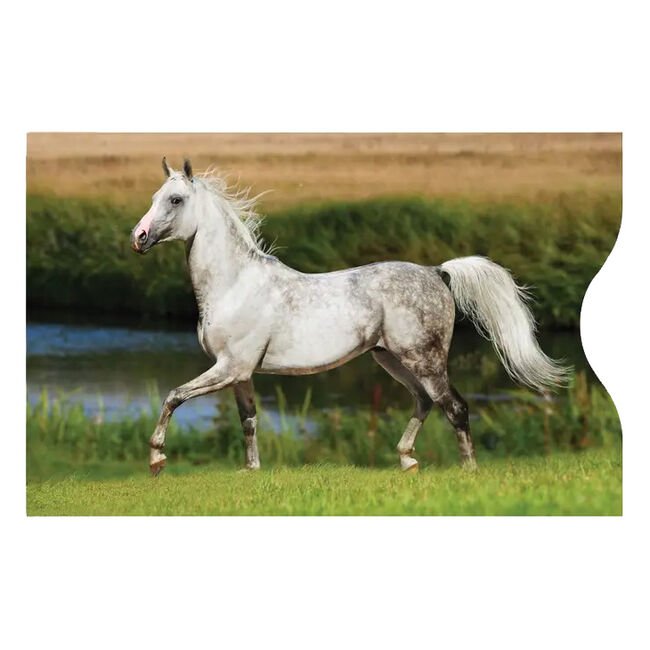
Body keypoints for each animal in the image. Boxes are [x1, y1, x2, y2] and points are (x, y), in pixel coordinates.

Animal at [131, 157, 568, 476]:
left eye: (175, 200)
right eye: (153, 196)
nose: (138, 238)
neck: (234, 284)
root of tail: (436, 272)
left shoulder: (229, 367)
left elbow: (173, 396)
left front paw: (156, 459)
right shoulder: (240, 374)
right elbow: (249, 420)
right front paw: (251, 470)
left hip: (424, 359)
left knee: (455, 407)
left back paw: (469, 470)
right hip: (391, 358)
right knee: (425, 402)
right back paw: (407, 460)